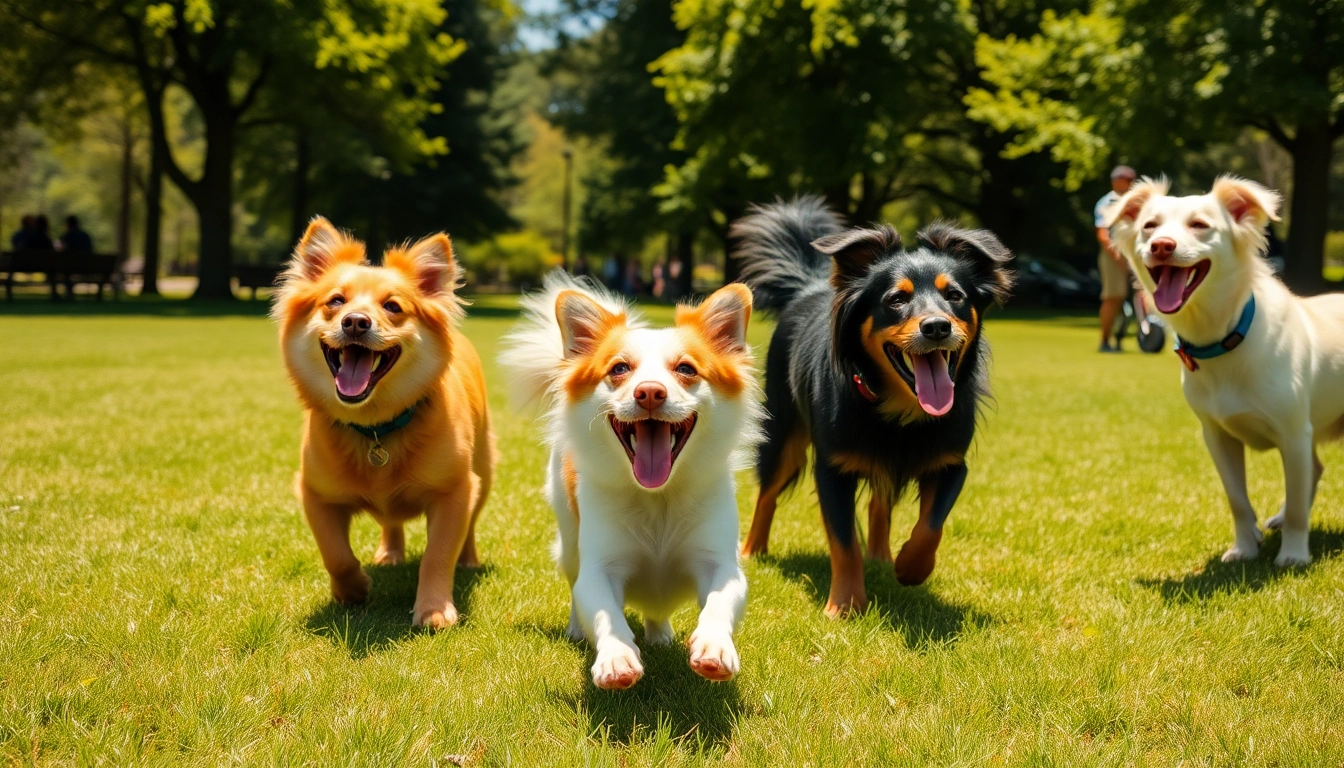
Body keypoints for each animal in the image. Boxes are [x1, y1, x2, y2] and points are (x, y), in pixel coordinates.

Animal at [271, 217, 494, 632]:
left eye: (393, 306)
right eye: (335, 302)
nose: (356, 322)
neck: (375, 426)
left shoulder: (455, 491)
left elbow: (438, 554)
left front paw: (434, 609)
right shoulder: (315, 494)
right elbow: (335, 553)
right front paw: (353, 589)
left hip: (484, 471)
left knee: (471, 522)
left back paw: (468, 559)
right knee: (390, 523)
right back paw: (389, 553)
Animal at [499, 271, 763, 688]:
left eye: (686, 369)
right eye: (619, 369)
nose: (650, 392)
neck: (657, 497)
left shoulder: (721, 563)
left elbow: (720, 602)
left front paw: (713, 646)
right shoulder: (598, 568)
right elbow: (604, 610)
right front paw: (616, 656)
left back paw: (660, 632)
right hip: (569, 539)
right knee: (573, 582)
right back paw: (578, 628)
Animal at [736, 197, 1010, 618]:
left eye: (955, 296)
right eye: (896, 299)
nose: (937, 327)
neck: (901, 411)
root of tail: (809, 287)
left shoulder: (951, 463)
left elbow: (931, 525)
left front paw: (910, 567)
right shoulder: (832, 469)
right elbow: (844, 542)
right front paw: (846, 604)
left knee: (879, 503)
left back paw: (881, 557)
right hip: (783, 431)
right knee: (767, 490)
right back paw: (752, 550)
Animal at [1107, 177, 1344, 567]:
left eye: (1200, 225)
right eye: (1149, 226)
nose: (1161, 245)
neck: (1224, 338)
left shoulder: (1294, 433)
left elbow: (1297, 502)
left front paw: (1293, 555)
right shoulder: (1217, 436)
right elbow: (1238, 500)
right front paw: (1244, 548)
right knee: (1315, 469)